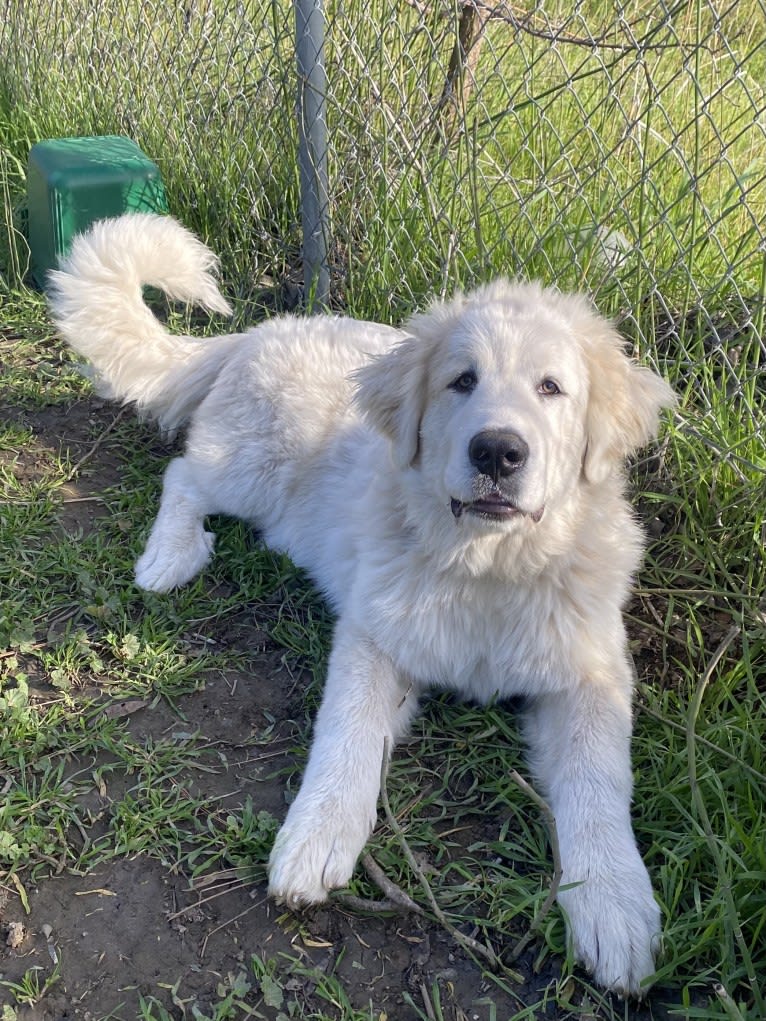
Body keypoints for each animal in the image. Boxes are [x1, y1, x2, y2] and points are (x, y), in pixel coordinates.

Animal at [48, 213, 674, 988]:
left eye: (552, 387)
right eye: (462, 381)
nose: (498, 451)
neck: (488, 567)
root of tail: (259, 330)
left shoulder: (591, 674)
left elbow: (597, 778)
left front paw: (614, 905)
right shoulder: (374, 637)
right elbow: (345, 734)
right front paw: (314, 839)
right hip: (253, 469)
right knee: (183, 475)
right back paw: (169, 557)